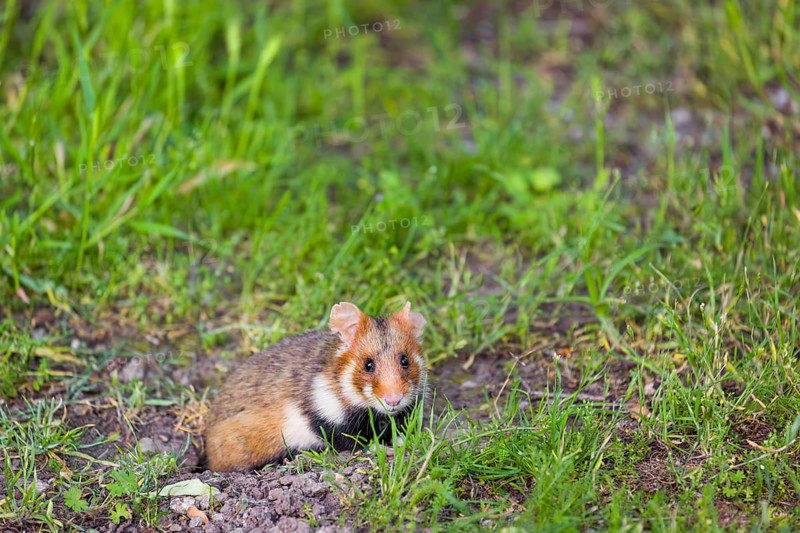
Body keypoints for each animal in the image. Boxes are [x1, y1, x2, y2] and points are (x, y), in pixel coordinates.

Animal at [203, 301, 428, 472]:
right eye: (368, 364)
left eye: (405, 360)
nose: (394, 401)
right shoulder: (329, 421)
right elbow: (359, 444)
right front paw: (386, 450)